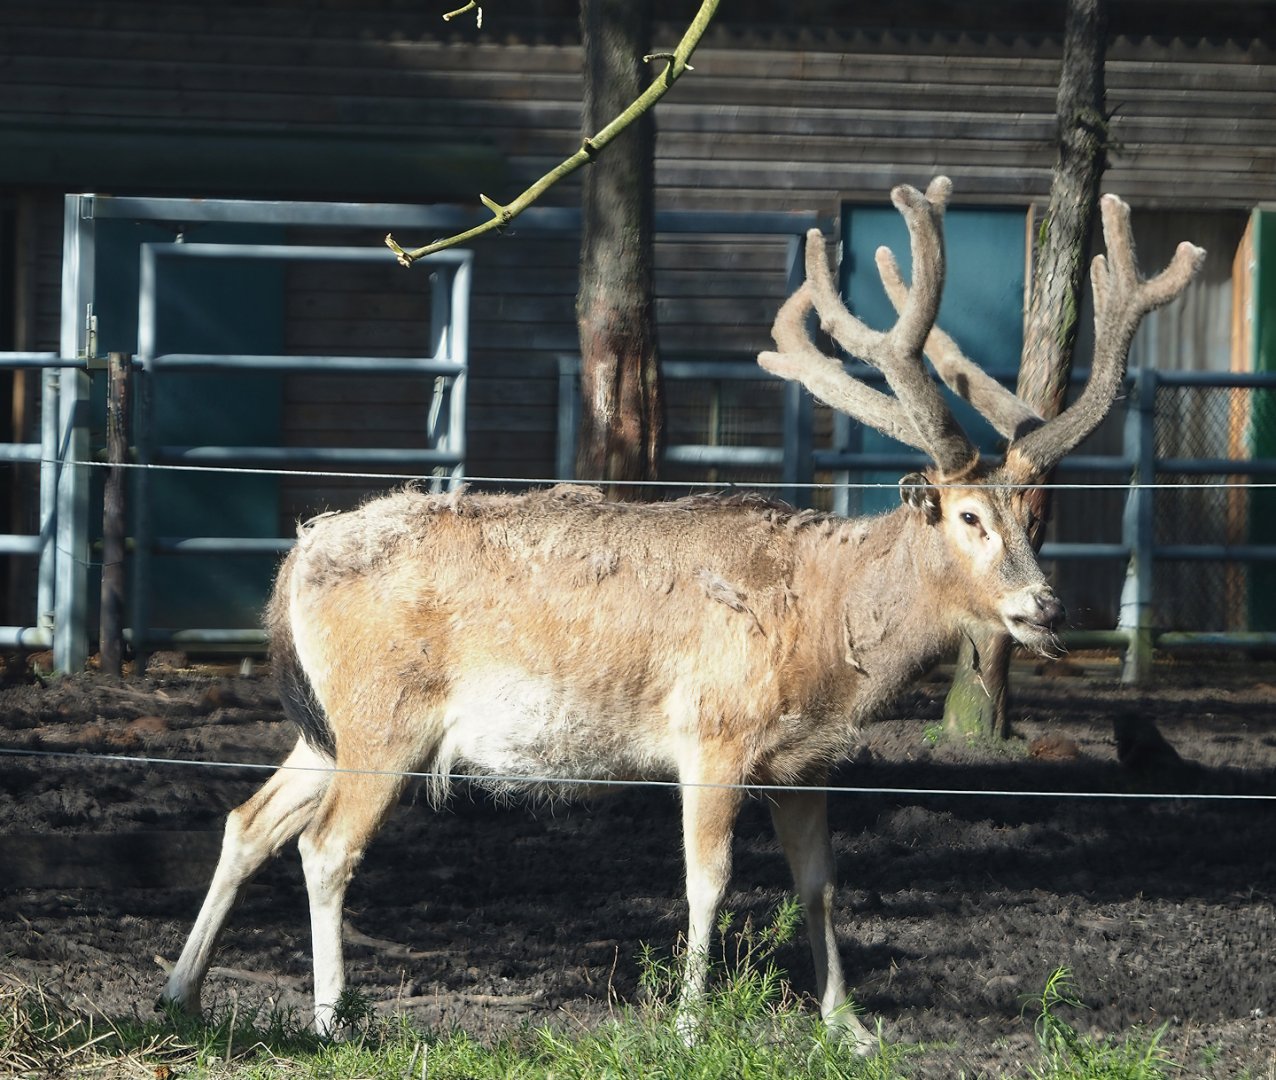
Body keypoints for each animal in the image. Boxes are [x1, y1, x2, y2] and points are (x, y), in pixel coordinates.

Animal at [160, 178, 1203, 1051]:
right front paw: (692, 1024)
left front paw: (849, 1027)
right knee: (326, 846)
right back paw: (332, 1018)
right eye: (970, 517)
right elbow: (709, 881)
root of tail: (295, 561)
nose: (1044, 603)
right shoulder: (713, 731)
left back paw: (182, 995)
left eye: (1033, 514)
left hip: (329, 721)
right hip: (386, 715)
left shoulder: (806, 761)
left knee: (248, 820)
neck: (824, 636)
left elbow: (820, 885)